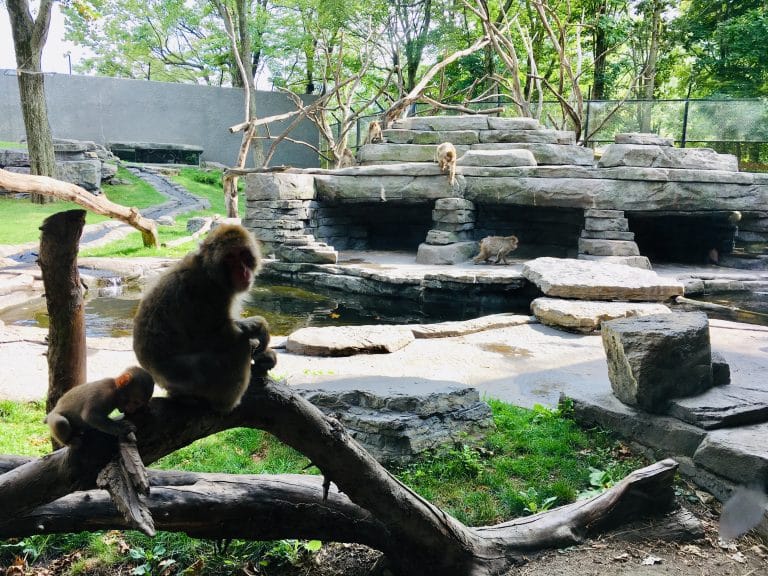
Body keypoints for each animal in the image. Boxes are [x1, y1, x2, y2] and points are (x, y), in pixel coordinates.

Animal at [133, 224, 276, 413]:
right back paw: (225, 404)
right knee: (237, 344)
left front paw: (263, 354)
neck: (210, 274)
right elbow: (217, 336)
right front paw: (259, 327)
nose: (242, 271)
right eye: (230, 258)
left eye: (244, 255)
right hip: (189, 375)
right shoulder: (208, 293)